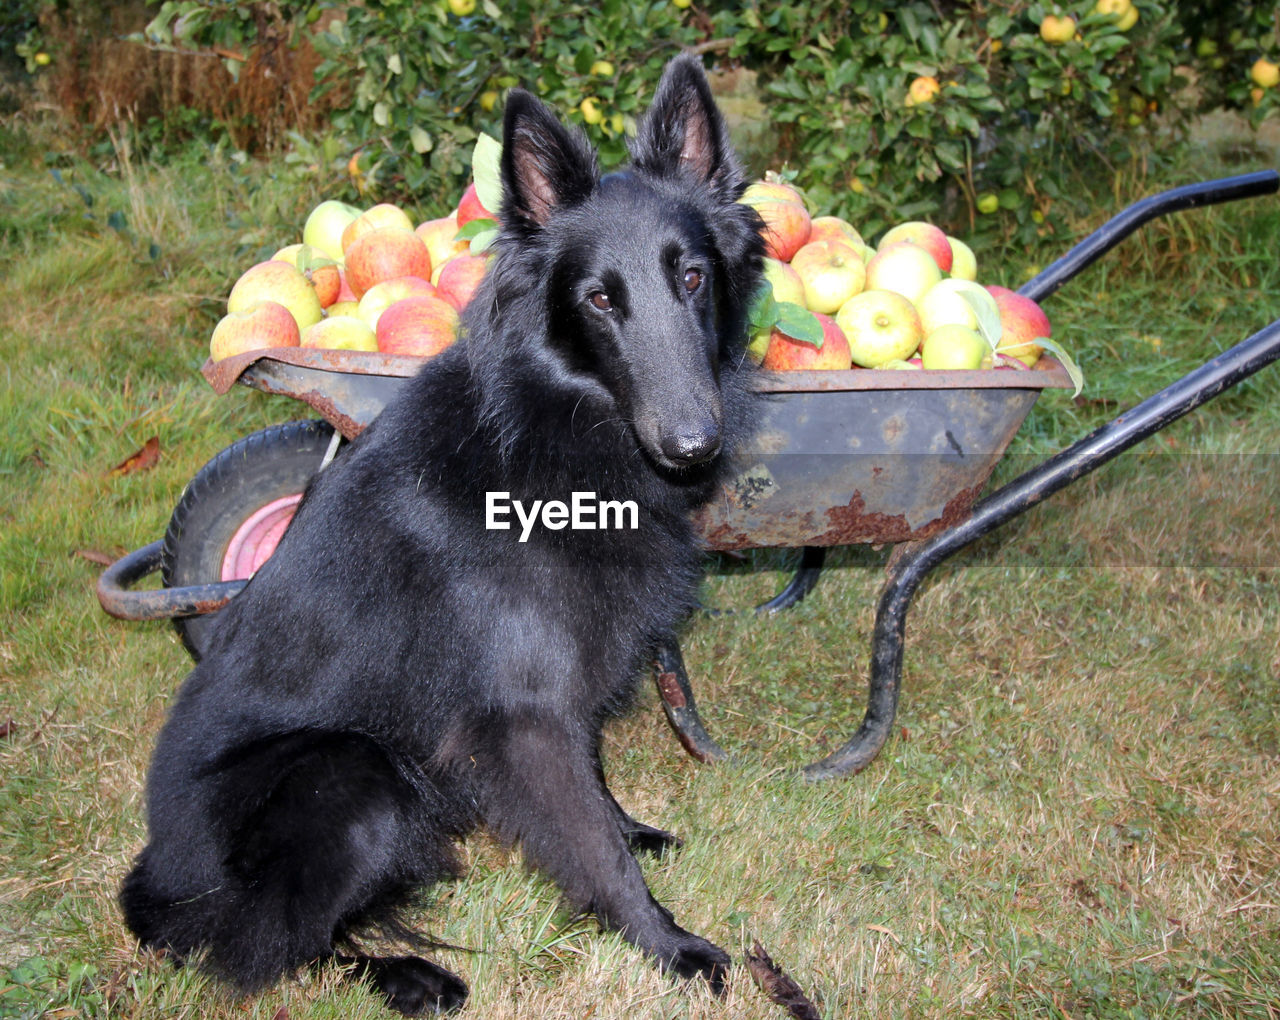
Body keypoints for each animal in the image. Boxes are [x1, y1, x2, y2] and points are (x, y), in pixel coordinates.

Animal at [117, 53, 757, 1008]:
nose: (694, 444)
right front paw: (670, 947)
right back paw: (407, 975)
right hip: (352, 775)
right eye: (600, 300)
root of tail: (154, 881)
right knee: (262, 945)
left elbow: (597, 786)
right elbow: (592, 845)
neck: (551, 428)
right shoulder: (526, 713)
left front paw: (636, 832)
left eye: (692, 277)